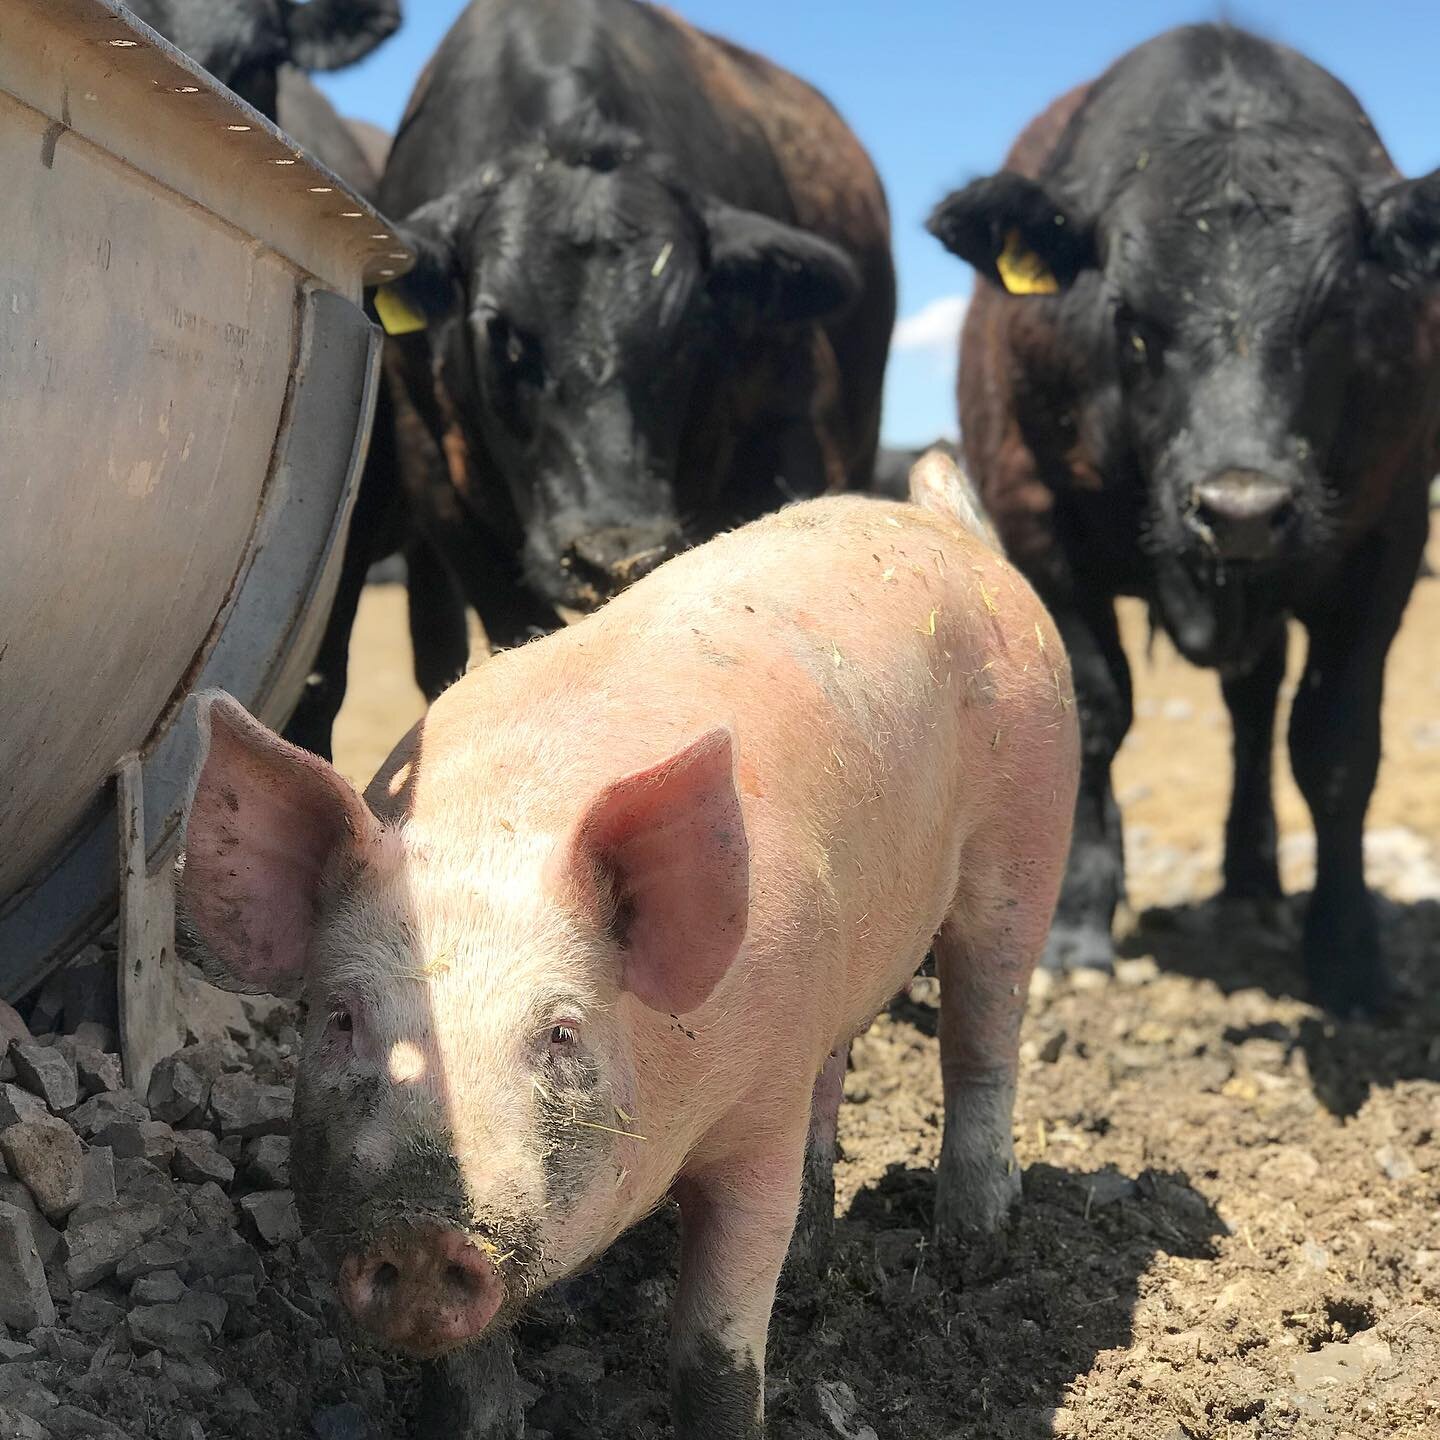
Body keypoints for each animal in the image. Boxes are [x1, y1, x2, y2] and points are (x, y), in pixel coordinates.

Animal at [179, 452, 1078, 1438]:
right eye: (339, 1018)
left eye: (561, 1032)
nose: (420, 1231)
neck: (499, 825)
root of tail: (943, 523)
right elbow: (467, 1376)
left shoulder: (759, 1114)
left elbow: (715, 1345)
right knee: (839, 1064)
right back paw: (819, 1258)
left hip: (1029, 829)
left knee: (982, 1031)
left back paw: (975, 1237)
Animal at [928, 24, 1440, 1015]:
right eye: (1129, 318)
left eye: (1334, 313)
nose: (1242, 510)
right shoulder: (1038, 521)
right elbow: (1095, 710)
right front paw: (1077, 923)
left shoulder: (1387, 537)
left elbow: (1335, 744)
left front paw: (1350, 957)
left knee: (1254, 709)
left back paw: (1251, 882)